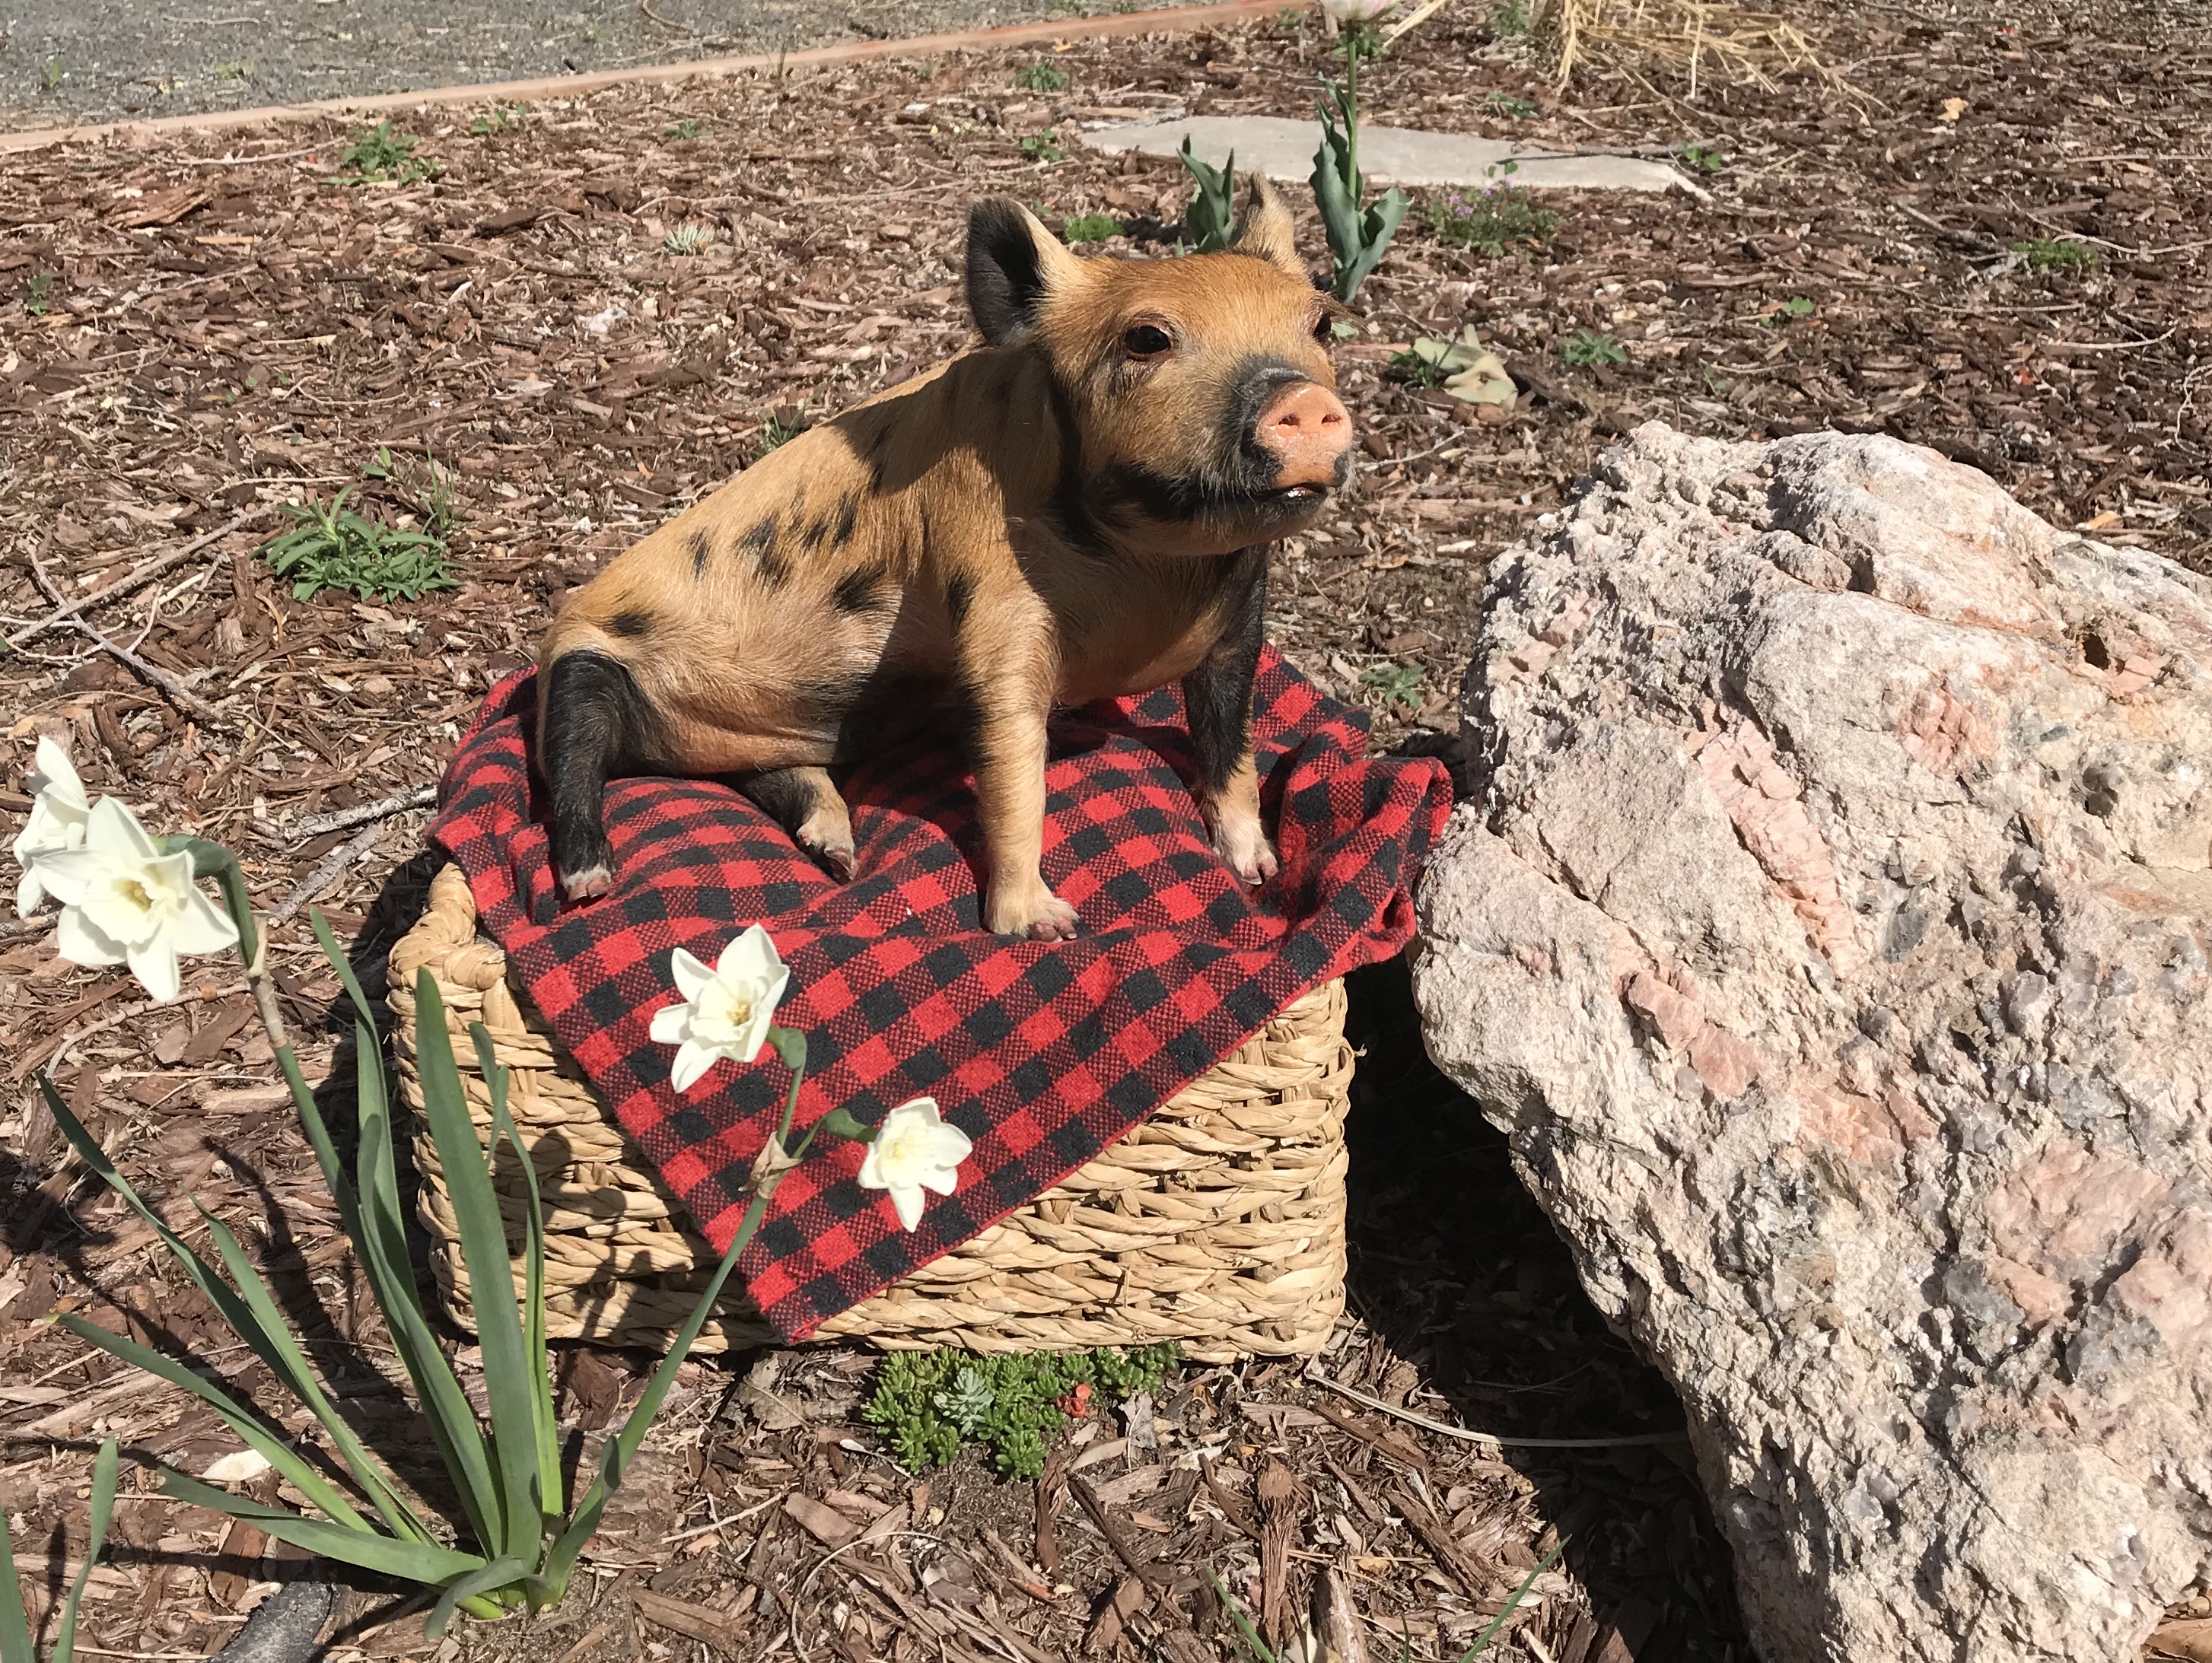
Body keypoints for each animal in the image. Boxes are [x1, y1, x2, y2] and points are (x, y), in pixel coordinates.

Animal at [537, 176, 1353, 939]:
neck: (1151, 569)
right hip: (576, 659)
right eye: (1147, 338)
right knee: (575, 758)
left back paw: (840, 855)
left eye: (1322, 324)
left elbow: (1231, 742)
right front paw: (1045, 926)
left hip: (759, 740)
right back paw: (589, 882)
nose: (1302, 398)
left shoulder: (1240, 621)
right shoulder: (987, 589)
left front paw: (1257, 869)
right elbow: (1010, 758)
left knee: (784, 775)